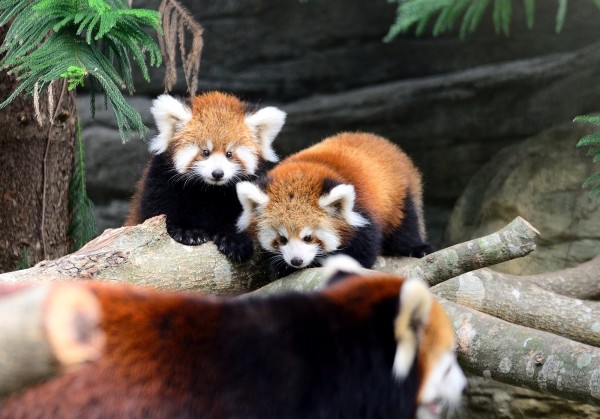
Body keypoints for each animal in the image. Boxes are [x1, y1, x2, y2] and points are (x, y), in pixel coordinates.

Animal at [124, 92, 286, 262]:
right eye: (205, 152)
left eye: (229, 154)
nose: (217, 173)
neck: (210, 191)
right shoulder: (160, 180)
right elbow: (159, 209)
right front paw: (188, 230)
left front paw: (235, 240)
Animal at [234, 133, 432, 278]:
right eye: (281, 239)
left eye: (308, 237)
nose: (296, 261)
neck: (307, 168)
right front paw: (283, 267)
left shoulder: (362, 212)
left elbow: (363, 250)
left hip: (398, 193)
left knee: (405, 226)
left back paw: (417, 248)